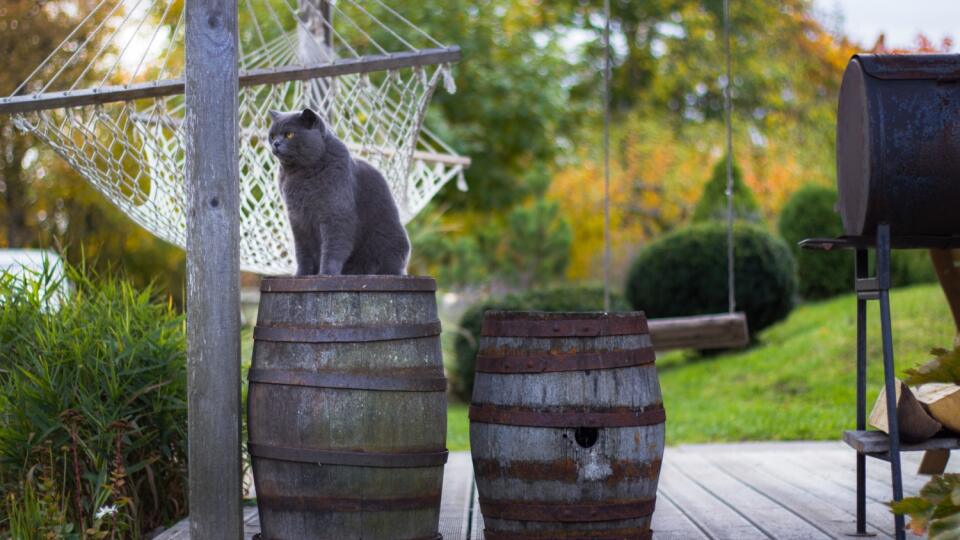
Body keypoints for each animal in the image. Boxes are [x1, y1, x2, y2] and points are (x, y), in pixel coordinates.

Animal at [268, 107, 410, 274]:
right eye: (272, 136)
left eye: (289, 134)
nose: (276, 143)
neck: (299, 174)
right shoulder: (298, 220)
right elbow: (302, 252)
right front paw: (301, 274)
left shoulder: (336, 213)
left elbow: (333, 248)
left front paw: (326, 274)